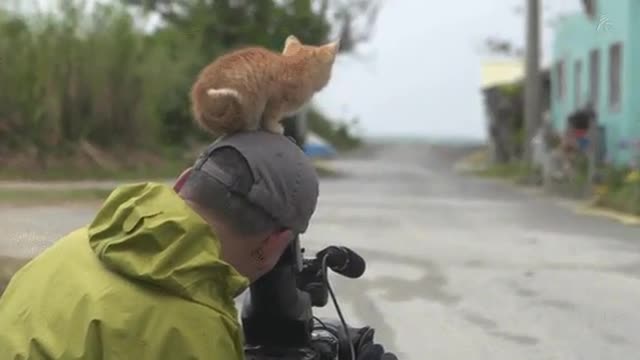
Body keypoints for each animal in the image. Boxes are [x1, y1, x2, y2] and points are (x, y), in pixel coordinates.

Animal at [190, 35, 340, 135]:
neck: (295, 65)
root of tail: (200, 107)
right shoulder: (276, 99)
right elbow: (270, 117)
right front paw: (275, 128)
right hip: (249, 101)